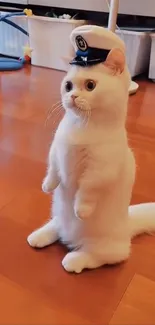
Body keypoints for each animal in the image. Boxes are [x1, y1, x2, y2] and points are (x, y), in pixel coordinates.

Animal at [27, 26, 155, 274]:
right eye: (68, 85)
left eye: (90, 85)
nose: (72, 96)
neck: (81, 126)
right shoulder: (56, 148)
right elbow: (53, 169)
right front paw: (47, 185)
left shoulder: (101, 169)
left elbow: (87, 190)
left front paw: (82, 209)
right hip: (58, 214)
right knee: (56, 227)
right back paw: (39, 236)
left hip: (107, 248)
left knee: (102, 257)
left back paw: (74, 259)